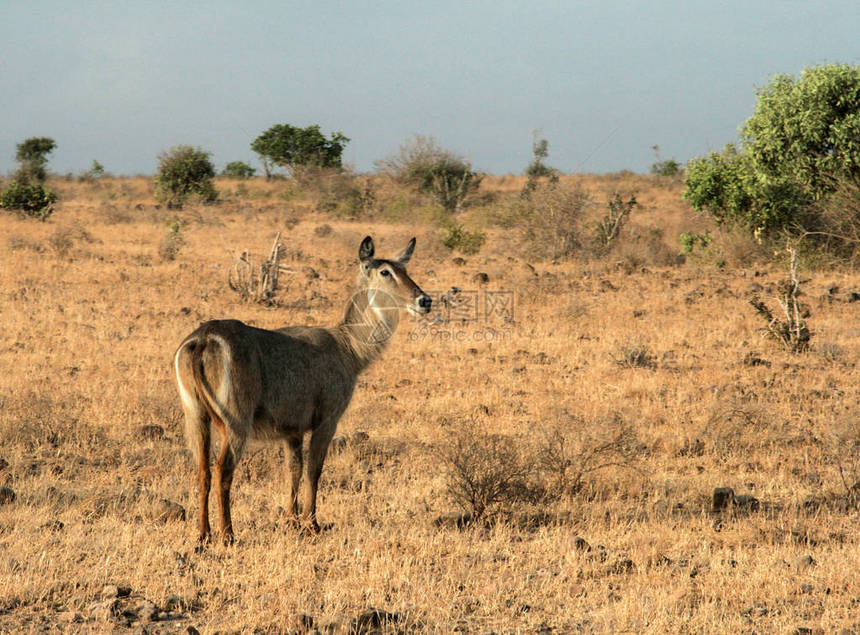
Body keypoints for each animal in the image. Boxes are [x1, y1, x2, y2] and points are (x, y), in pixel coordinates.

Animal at [173, 236, 430, 544]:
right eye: (385, 272)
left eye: (405, 269)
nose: (424, 300)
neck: (348, 348)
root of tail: (202, 339)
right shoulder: (327, 421)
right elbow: (313, 469)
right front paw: (312, 523)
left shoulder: (291, 429)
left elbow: (293, 470)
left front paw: (291, 521)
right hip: (236, 421)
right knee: (223, 469)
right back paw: (228, 534)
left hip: (195, 415)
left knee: (202, 469)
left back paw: (203, 534)